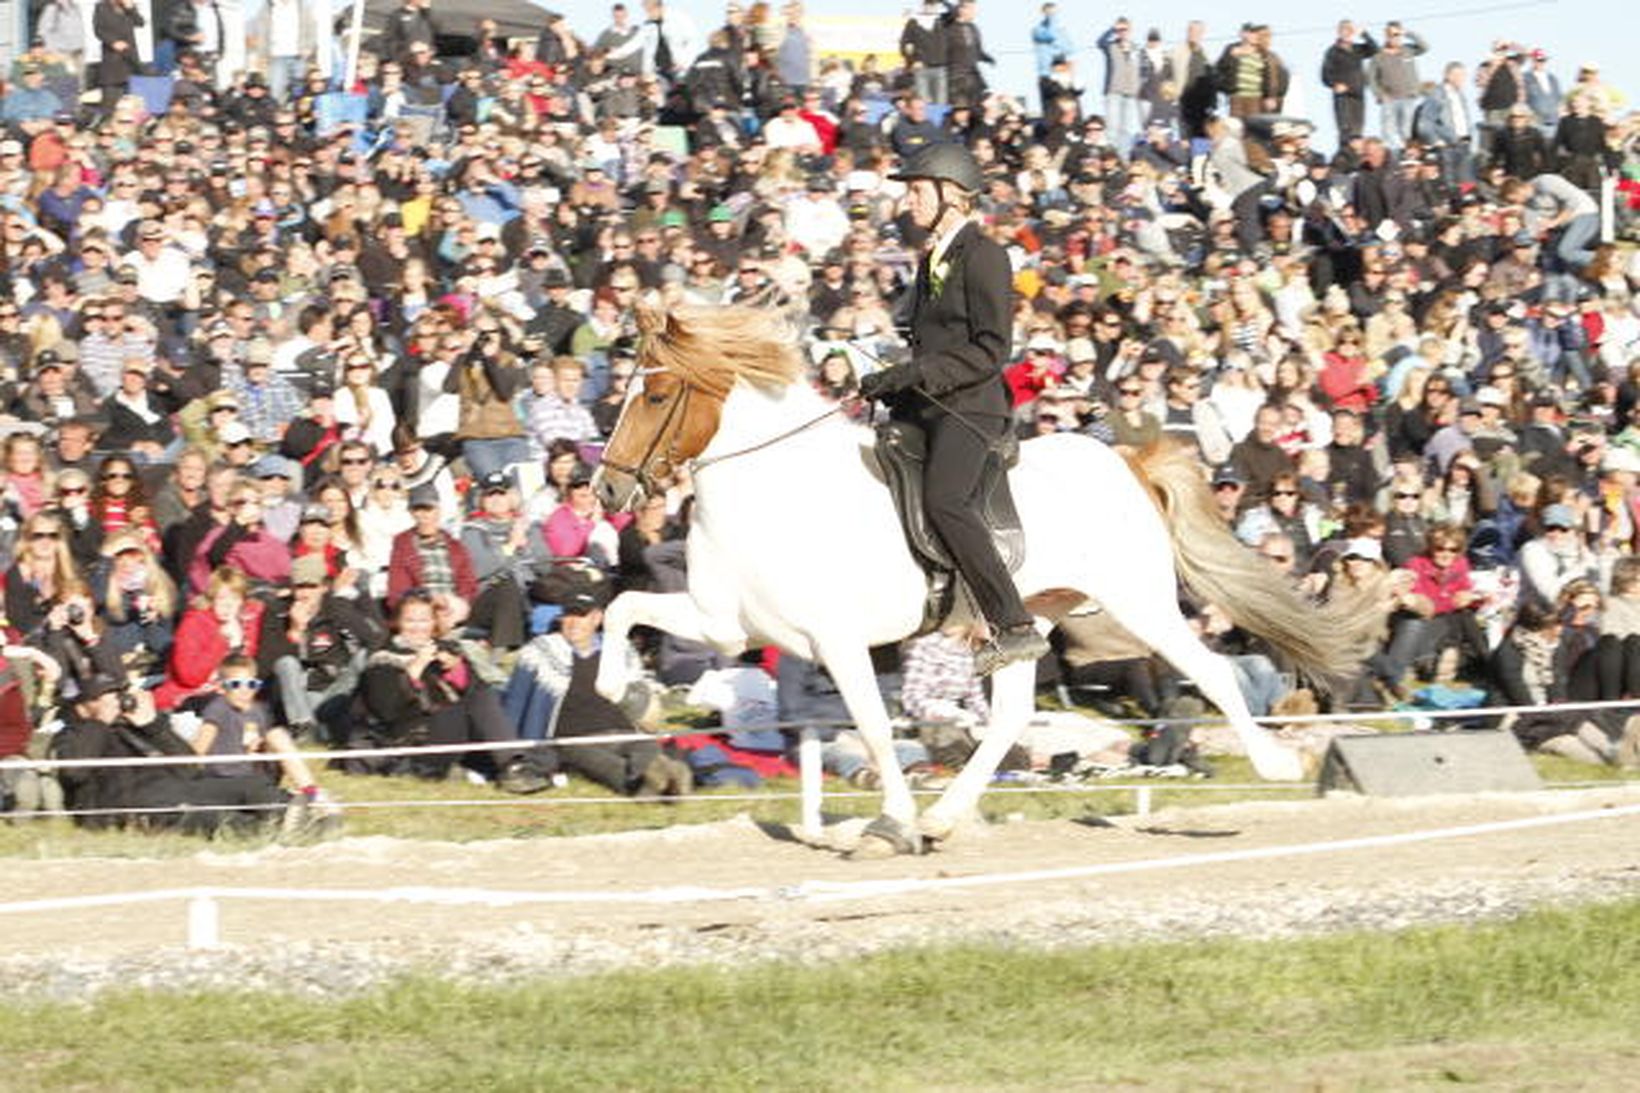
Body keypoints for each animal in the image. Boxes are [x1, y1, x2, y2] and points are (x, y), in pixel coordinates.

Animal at [590, 303, 1357, 853]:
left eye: (656, 397)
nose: (606, 490)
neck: (770, 490)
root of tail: (1126, 462)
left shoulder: (837, 641)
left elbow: (874, 727)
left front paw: (889, 825)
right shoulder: (726, 626)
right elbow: (624, 607)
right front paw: (628, 696)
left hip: (1137, 601)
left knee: (1211, 669)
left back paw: (1277, 767)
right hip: (1025, 615)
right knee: (1012, 713)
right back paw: (944, 818)